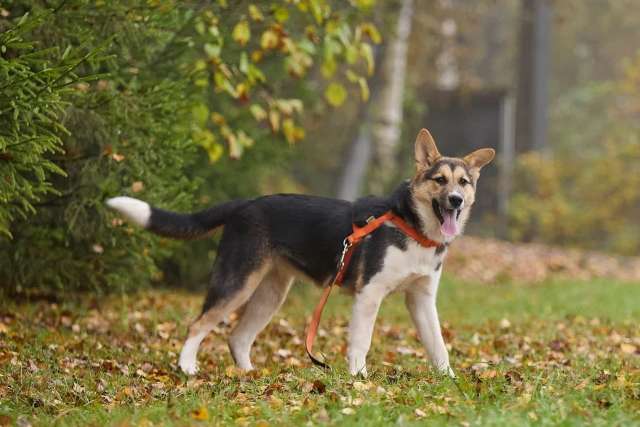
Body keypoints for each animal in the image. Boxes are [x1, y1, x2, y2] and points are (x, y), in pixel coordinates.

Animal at [106, 130, 496, 378]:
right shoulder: (369, 294)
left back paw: (250, 375)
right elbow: (361, 342)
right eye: (439, 180)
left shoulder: (421, 300)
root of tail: (246, 203)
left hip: (271, 293)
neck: (411, 226)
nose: (456, 201)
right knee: (199, 324)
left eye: (464, 183)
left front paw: (449, 380)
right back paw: (187, 367)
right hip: (238, 282)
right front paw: (359, 379)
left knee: (238, 337)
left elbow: (438, 345)